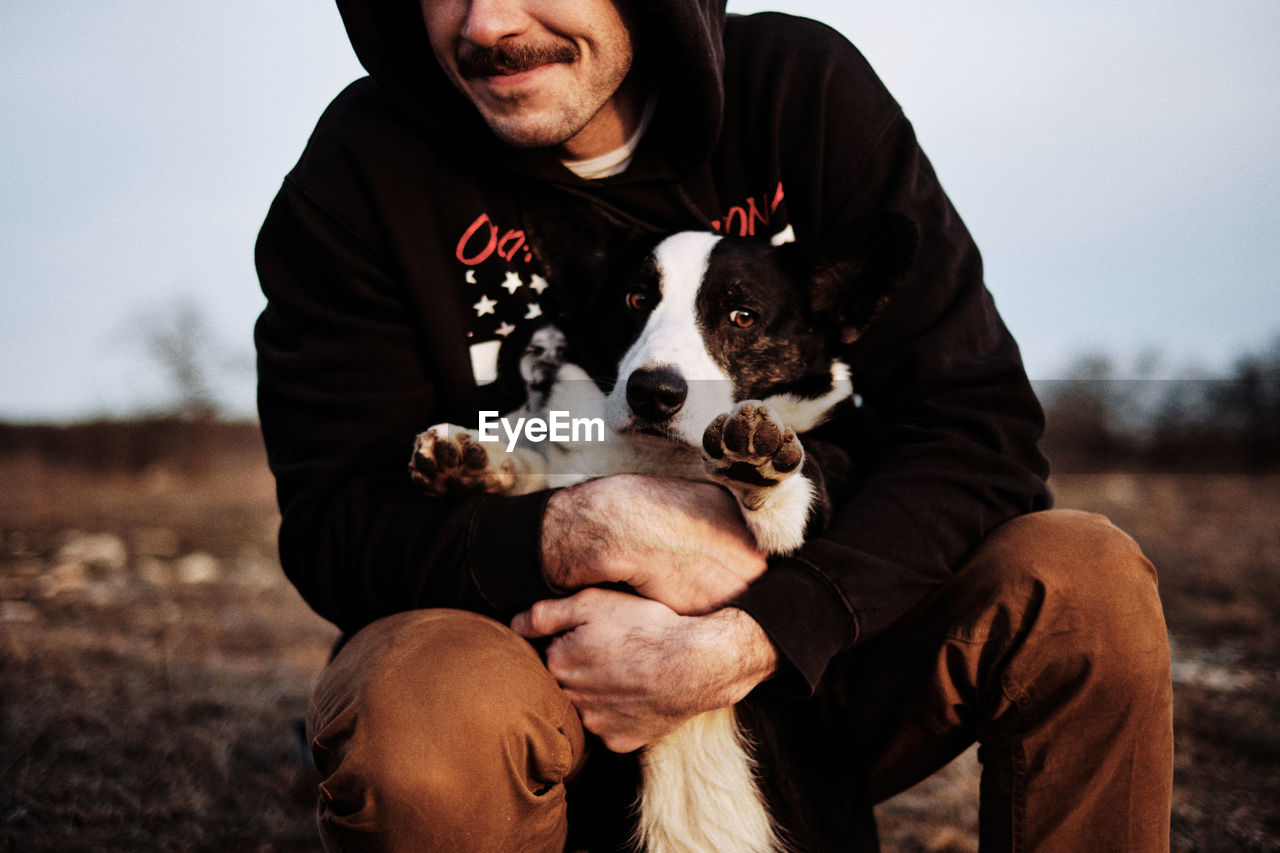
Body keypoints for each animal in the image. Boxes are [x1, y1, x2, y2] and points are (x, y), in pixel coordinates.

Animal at [407, 220, 911, 850]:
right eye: (635, 299)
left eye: (742, 316)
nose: (654, 393)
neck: (664, 457)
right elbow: (538, 464)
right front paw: (472, 459)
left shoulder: (836, 466)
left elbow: (808, 477)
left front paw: (760, 465)